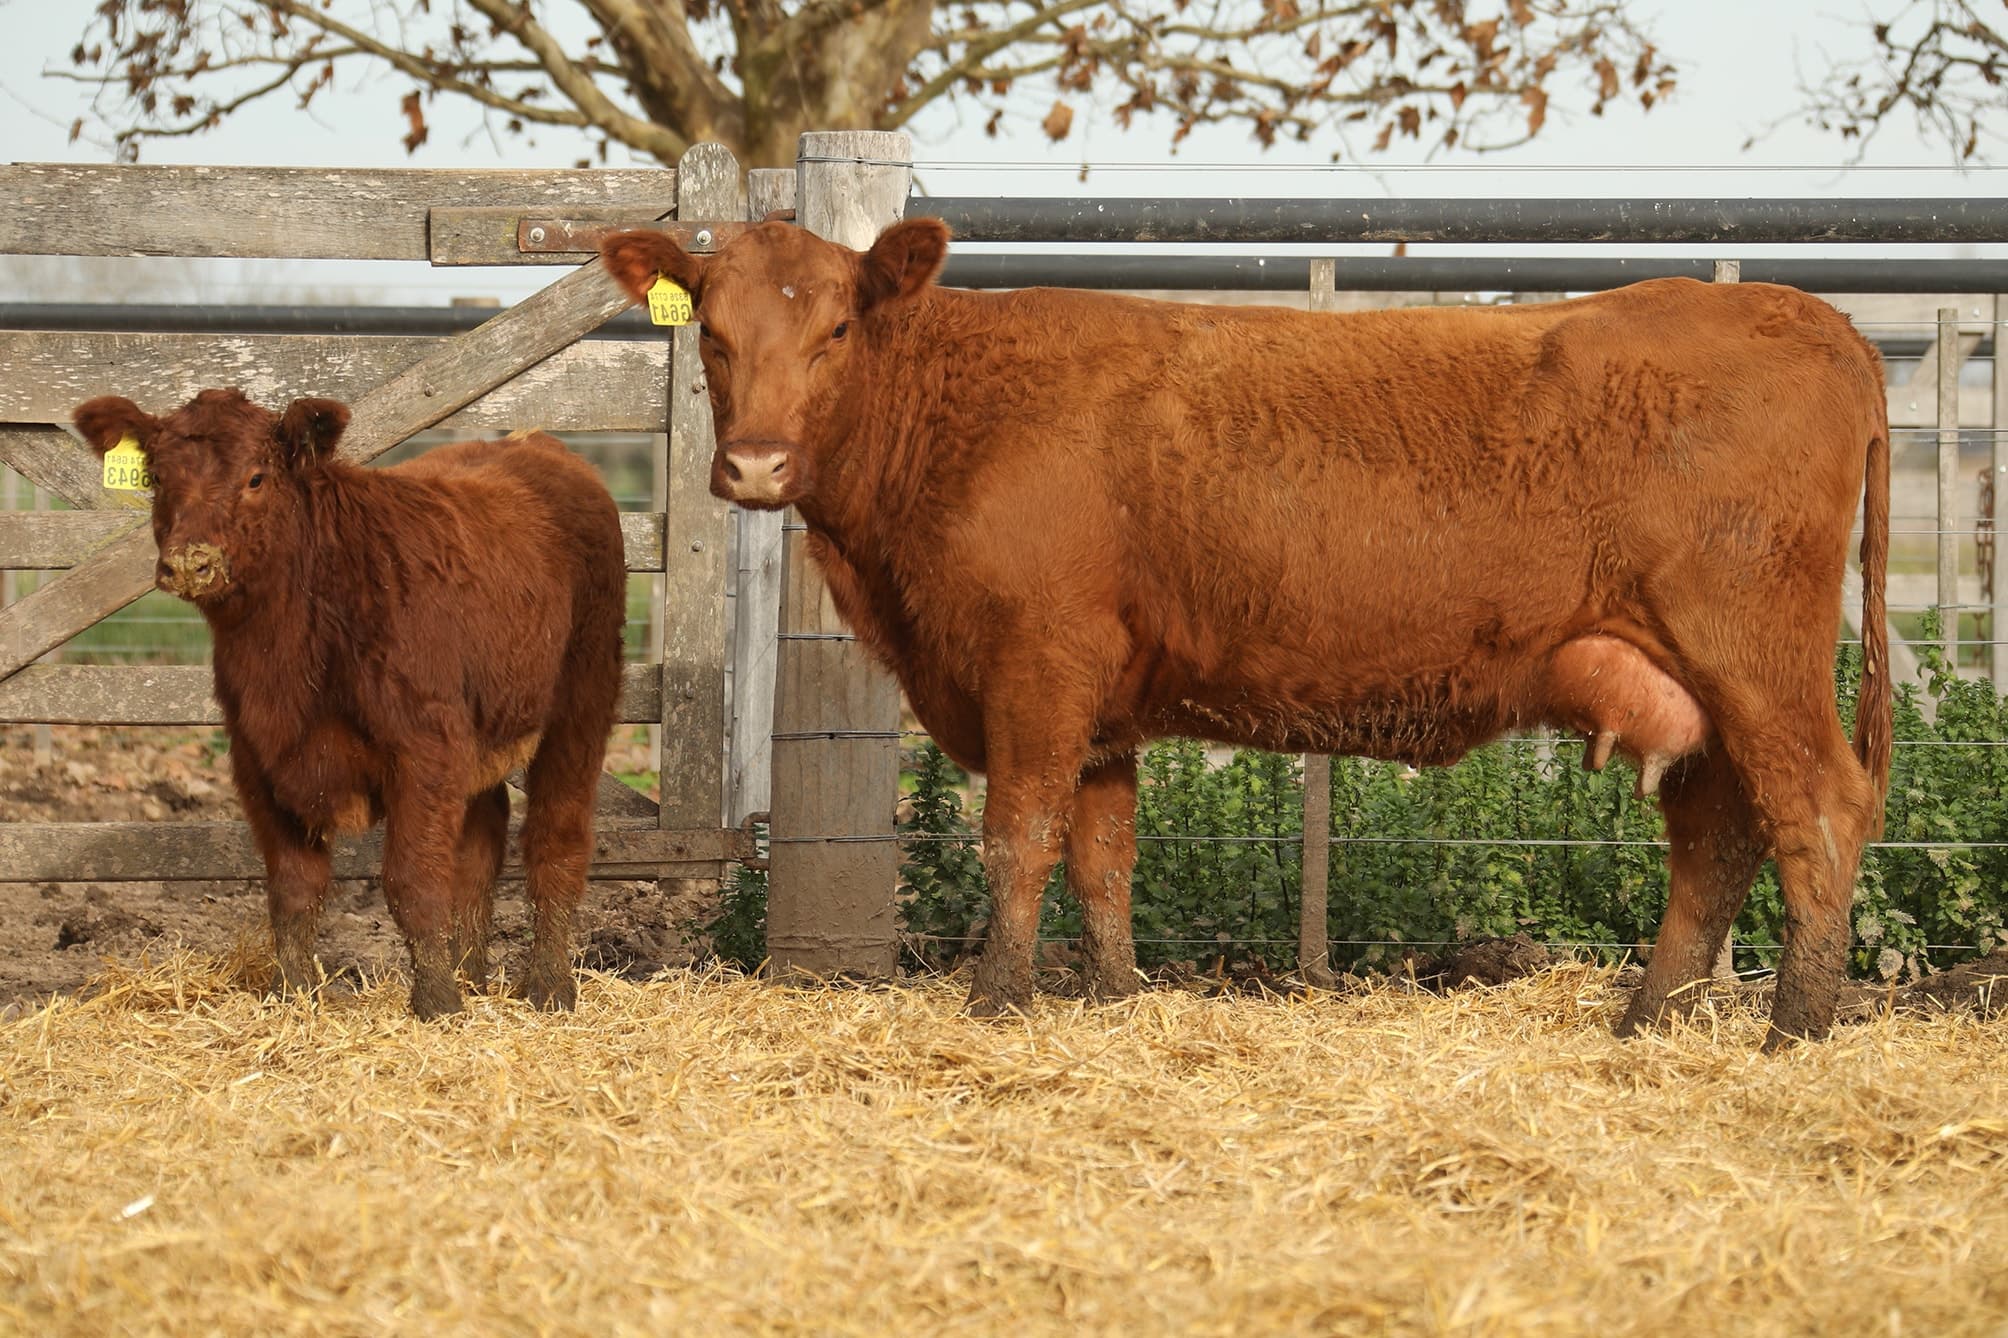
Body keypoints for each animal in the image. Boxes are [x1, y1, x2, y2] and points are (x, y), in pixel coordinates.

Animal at [70, 390, 627, 1019]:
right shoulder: (259, 759)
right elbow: (294, 889)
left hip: (581, 701)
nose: (190, 562)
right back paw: (473, 974)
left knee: (557, 838)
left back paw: (550, 985)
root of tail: (537, 444)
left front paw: (437, 1003)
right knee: (480, 842)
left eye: (256, 477)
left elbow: (412, 881)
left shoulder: (424, 750)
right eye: (159, 476)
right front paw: (290, 994)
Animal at [598, 219, 1892, 1049]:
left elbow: (1018, 838)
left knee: (1818, 808)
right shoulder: (1103, 699)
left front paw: (995, 1002)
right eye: (710, 333)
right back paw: (1647, 1020)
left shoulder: (1036, 663)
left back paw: (1796, 1029)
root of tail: (1795, 310)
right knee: (1717, 833)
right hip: (1695, 685)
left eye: (835, 332)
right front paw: (1114, 1001)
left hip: (1751, 654)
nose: (754, 466)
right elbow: (1103, 855)